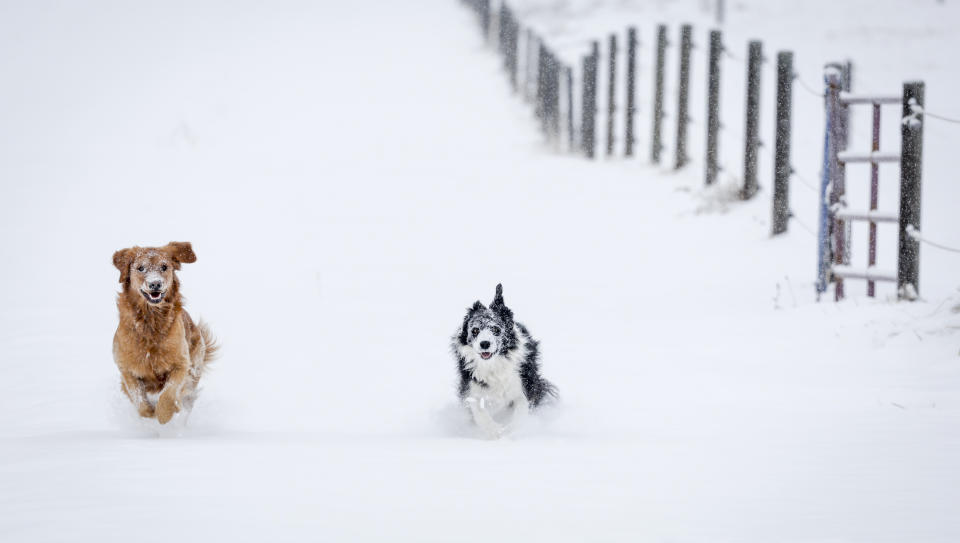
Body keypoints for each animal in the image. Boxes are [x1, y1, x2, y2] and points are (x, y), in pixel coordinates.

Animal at [110, 242, 218, 424]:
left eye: (164, 267)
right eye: (140, 268)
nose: (155, 284)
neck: (150, 321)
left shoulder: (182, 364)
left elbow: (168, 393)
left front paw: (164, 414)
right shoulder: (127, 369)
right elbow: (139, 399)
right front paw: (150, 413)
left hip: (195, 366)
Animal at [454, 284, 560, 438]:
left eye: (496, 329)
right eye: (475, 330)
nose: (484, 343)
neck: (494, 364)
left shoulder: (524, 384)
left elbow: (521, 409)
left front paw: (511, 431)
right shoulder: (471, 385)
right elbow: (479, 410)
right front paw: (494, 430)